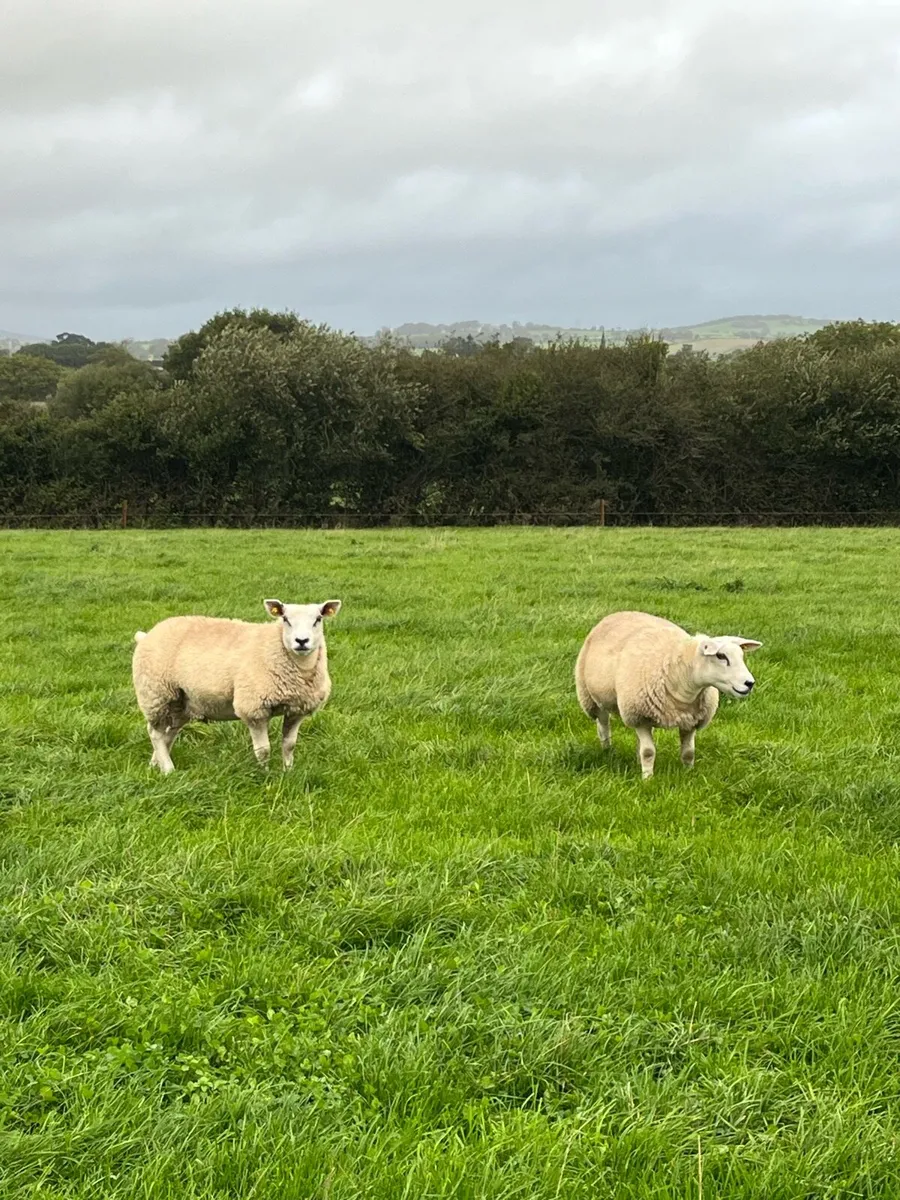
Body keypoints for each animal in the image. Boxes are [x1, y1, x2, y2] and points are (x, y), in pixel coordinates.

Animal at [132, 597, 342, 773]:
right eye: (285, 619)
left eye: (318, 619)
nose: (302, 641)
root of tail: (147, 635)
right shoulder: (254, 708)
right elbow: (263, 749)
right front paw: (264, 774)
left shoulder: (297, 709)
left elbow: (289, 745)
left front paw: (288, 772)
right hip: (155, 695)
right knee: (155, 733)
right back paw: (168, 769)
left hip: (181, 702)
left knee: (168, 734)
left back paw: (156, 765)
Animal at [574, 610, 762, 779]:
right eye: (721, 656)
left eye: (741, 656)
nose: (749, 683)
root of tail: (617, 613)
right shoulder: (639, 715)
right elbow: (648, 752)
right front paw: (647, 779)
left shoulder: (690, 720)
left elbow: (688, 752)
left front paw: (688, 773)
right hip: (591, 697)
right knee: (603, 725)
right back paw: (607, 750)